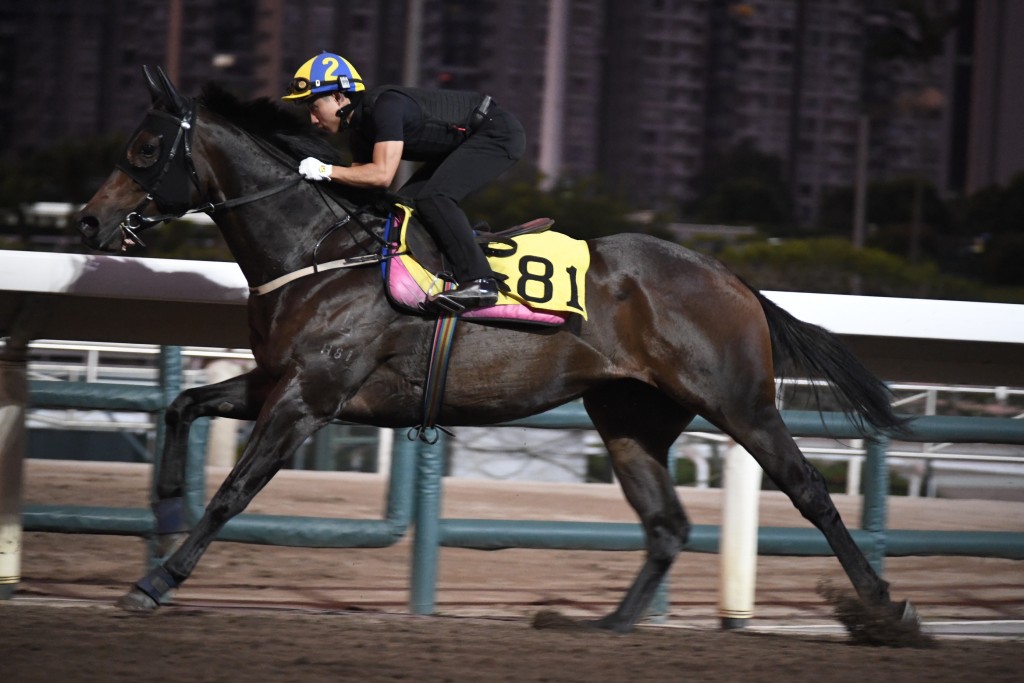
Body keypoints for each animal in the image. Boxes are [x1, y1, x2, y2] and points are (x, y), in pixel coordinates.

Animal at [77, 68, 913, 634]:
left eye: (146, 147)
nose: (88, 221)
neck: (321, 251)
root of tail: (731, 276)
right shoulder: (280, 379)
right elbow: (183, 404)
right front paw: (163, 501)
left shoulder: (309, 396)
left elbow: (234, 492)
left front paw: (156, 581)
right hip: (630, 415)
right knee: (666, 522)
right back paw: (606, 624)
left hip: (737, 400)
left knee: (807, 489)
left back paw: (882, 605)